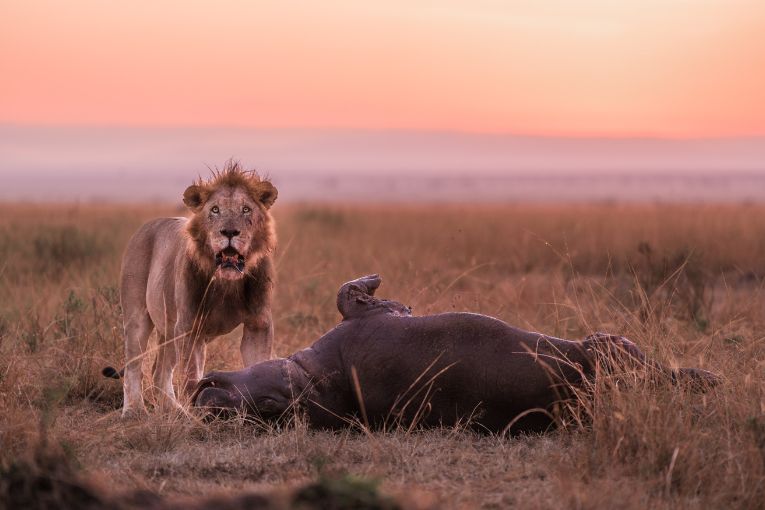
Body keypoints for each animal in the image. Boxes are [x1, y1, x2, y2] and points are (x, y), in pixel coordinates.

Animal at [103, 161, 278, 416]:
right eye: (215, 210)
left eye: (246, 209)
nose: (229, 232)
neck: (226, 283)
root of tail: (147, 225)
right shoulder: (190, 326)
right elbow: (191, 378)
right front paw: (200, 414)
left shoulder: (258, 324)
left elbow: (257, 365)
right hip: (138, 317)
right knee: (135, 364)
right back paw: (134, 411)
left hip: (169, 329)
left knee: (159, 371)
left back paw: (174, 410)